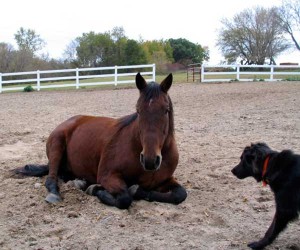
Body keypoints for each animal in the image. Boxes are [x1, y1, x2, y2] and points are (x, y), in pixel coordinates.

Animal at [15, 73, 188, 210]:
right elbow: (125, 198)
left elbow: (180, 194)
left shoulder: (165, 180)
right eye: (138, 110)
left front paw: (139, 191)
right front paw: (97, 190)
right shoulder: (107, 176)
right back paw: (55, 193)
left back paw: (80, 182)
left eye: (166, 110)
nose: (150, 160)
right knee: (51, 177)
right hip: (57, 146)